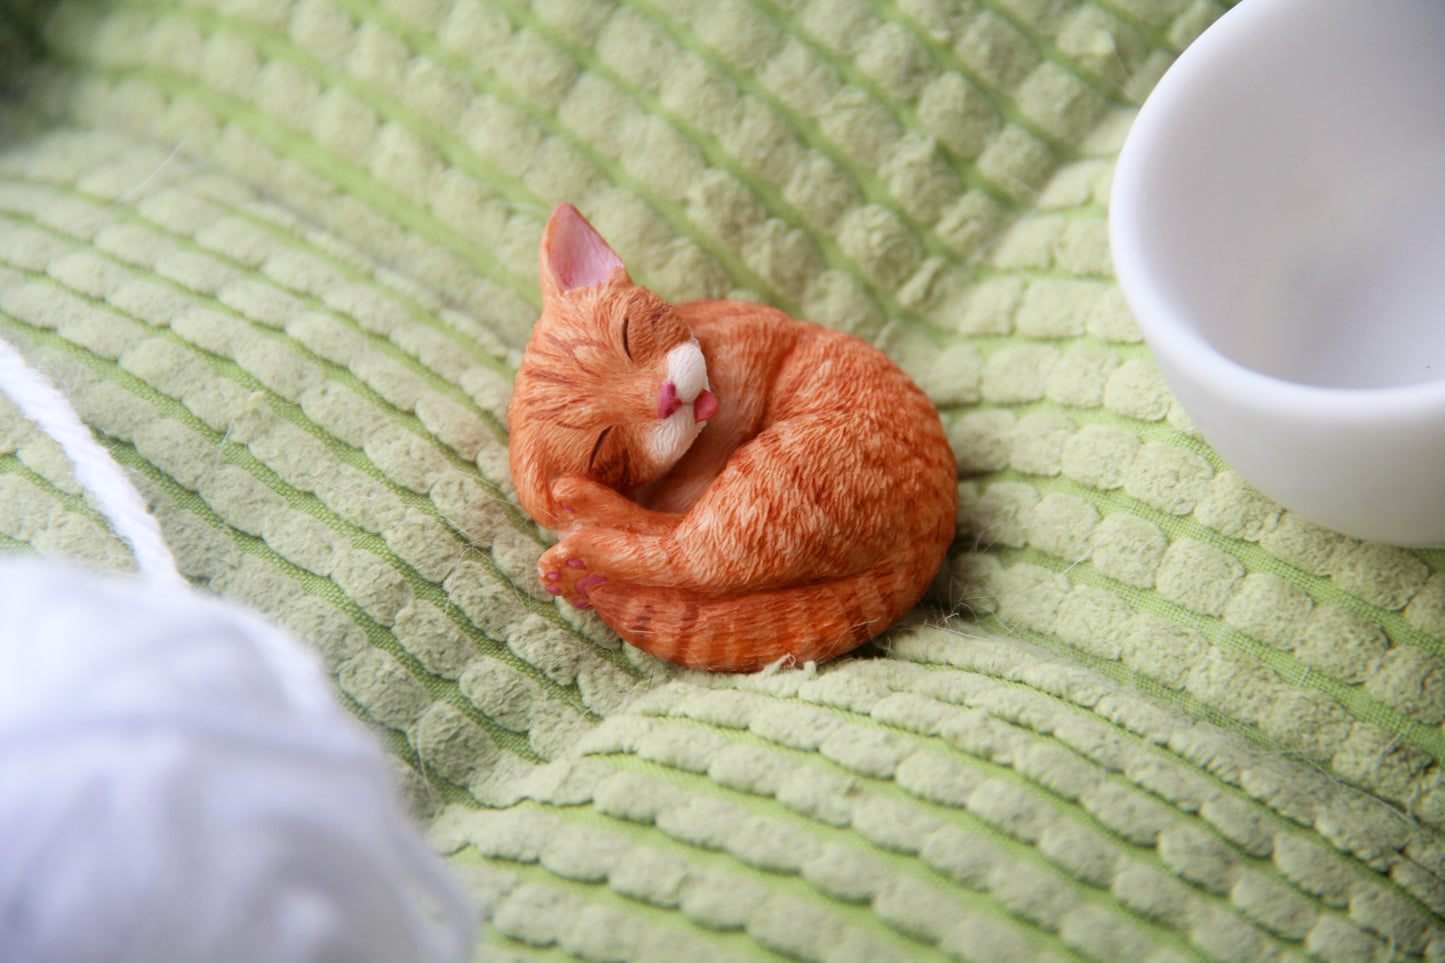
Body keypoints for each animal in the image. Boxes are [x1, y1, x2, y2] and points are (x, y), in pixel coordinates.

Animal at [508, 202, 959, 668]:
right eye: (605, 444)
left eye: (628, 335)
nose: (666, 398)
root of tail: (931, 530)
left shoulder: (751, 345)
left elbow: (714, 441)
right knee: (681, 552)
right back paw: (580, 546)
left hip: (773, 481)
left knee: (681, 551)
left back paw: (579, 541)